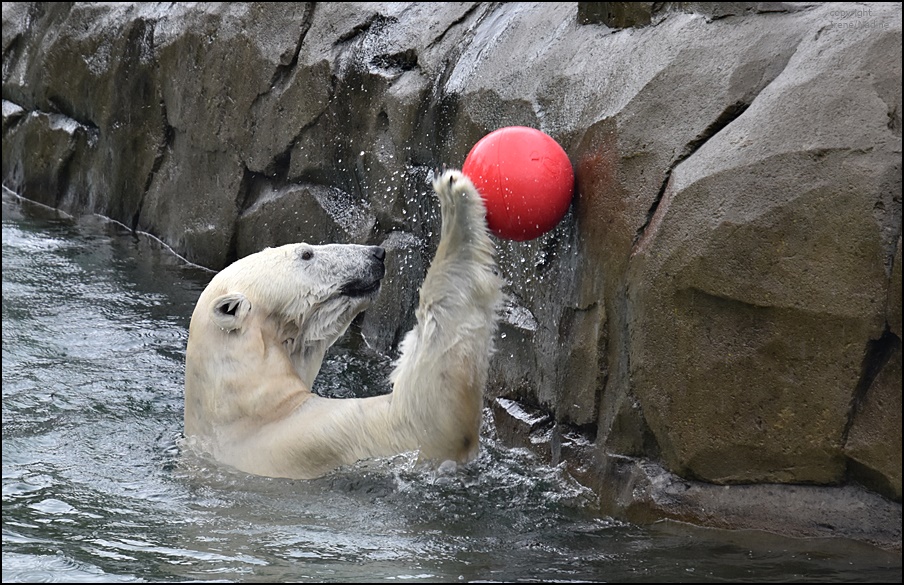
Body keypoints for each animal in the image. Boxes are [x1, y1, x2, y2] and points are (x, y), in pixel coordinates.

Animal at [183, 169, 502, 480]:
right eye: (307, 253)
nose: (377, 253)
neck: (247, 408)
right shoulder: (309, 438)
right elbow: (425, 421)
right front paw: (456, 197)